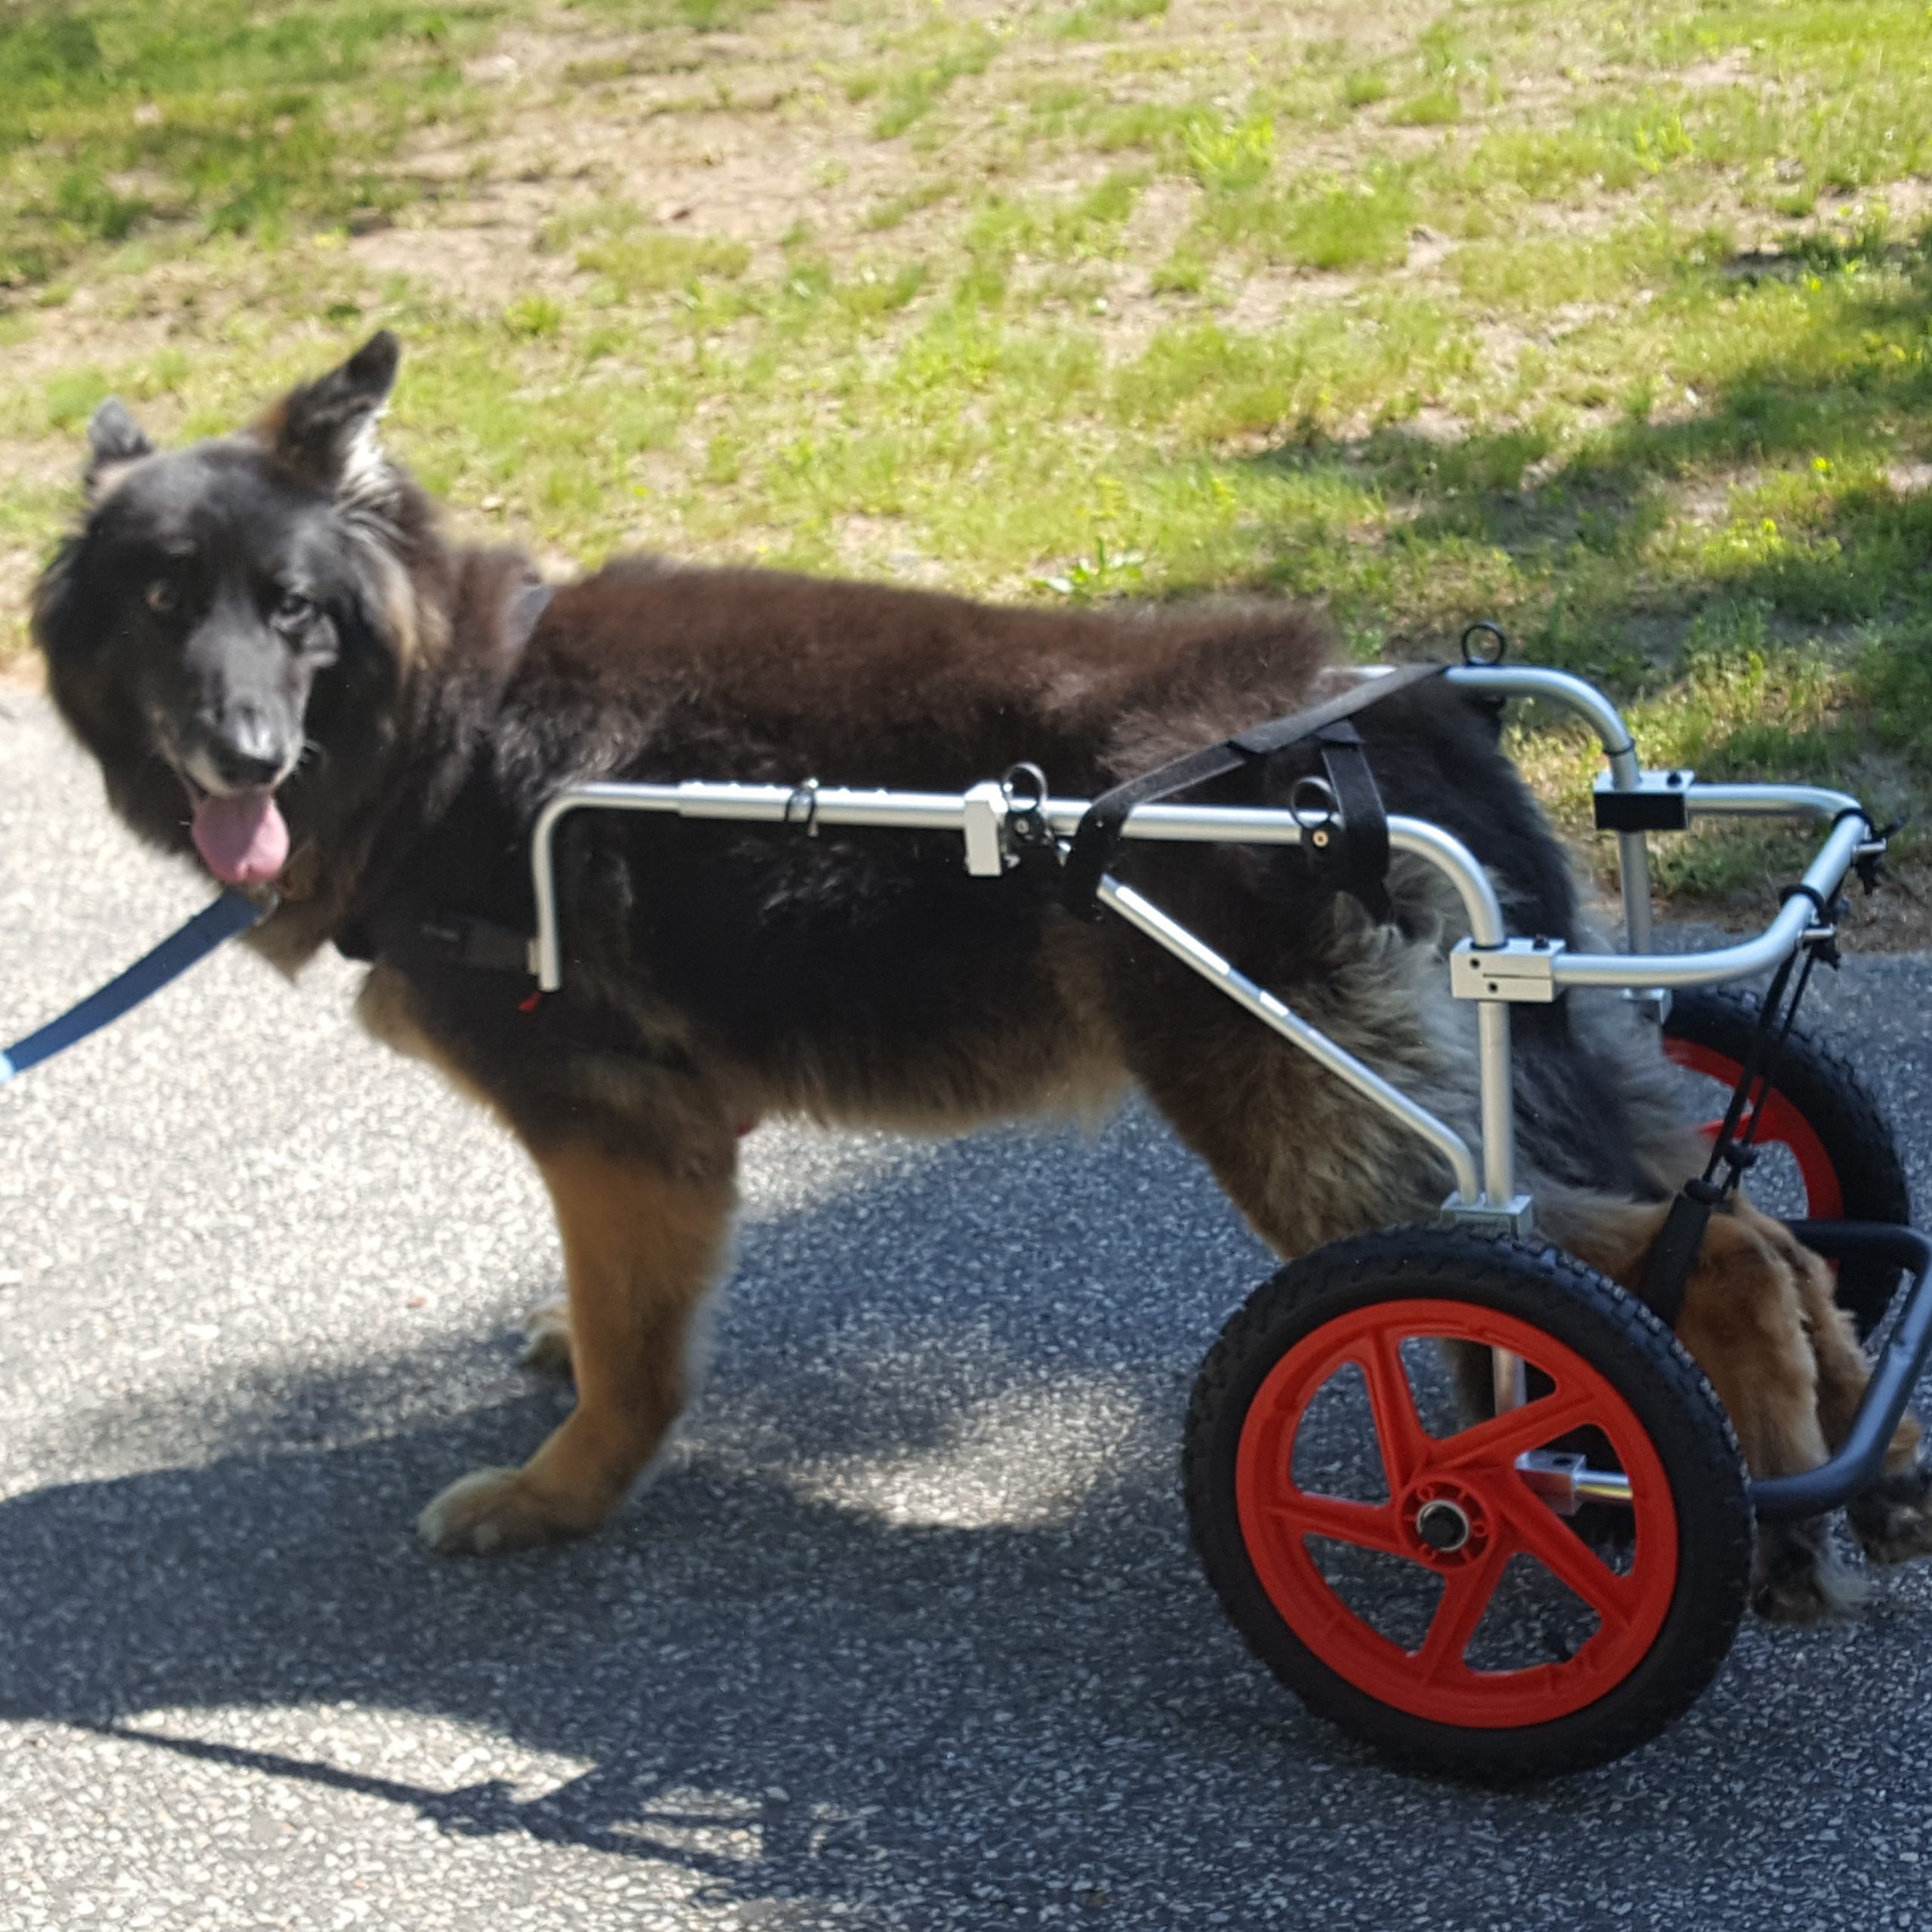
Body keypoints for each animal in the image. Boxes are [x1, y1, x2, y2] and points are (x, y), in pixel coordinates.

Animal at [30, 332, 1932, 1615]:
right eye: (161, 603)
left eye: (291, 607)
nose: (241, 753)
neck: (446, 715)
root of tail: (1380, 713)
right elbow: (604, 1312)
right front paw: (554, 1358)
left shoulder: (625, 1133)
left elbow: (634, 1363)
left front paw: (556, 1490)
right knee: (1774, 1230)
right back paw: (1871, 1457)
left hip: (1345, 1139)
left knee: (1706, 1254)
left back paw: (1766, 1519)